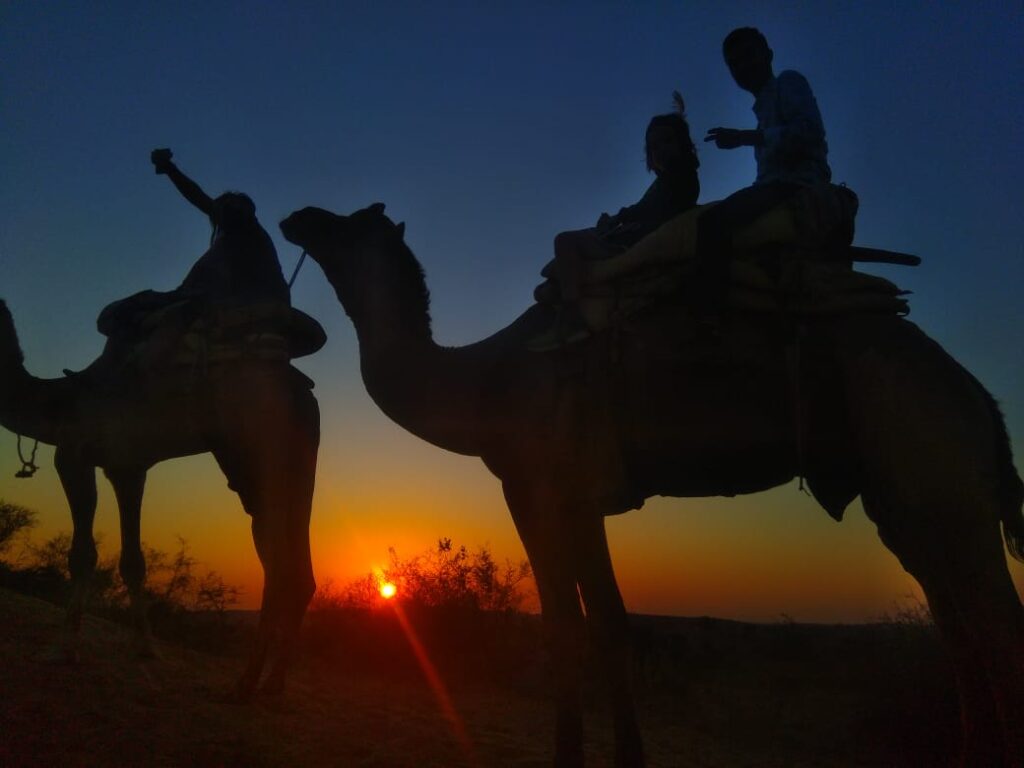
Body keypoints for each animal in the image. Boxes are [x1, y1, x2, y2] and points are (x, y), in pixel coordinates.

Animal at [0, 301, 319, 696]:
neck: (58, 401)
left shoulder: (72, 454)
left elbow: (82, 555)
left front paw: (63, 649)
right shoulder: (127, 468)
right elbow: (133, 561)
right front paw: (145, 647)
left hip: (260, 447)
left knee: (277, 564)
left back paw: (246, 683)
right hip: (297, 459)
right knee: (296, 562)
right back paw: (272, 682)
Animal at [282, 205, 1024, 768]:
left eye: (351, 222)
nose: (299, 216)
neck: (485, 382)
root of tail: (977, 396)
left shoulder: (539, 488)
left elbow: (565, 627)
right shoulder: (581, 500)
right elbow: (608, 624)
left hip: (936, 466)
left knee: (997, 625)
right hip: (904, 502)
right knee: (959, 625)